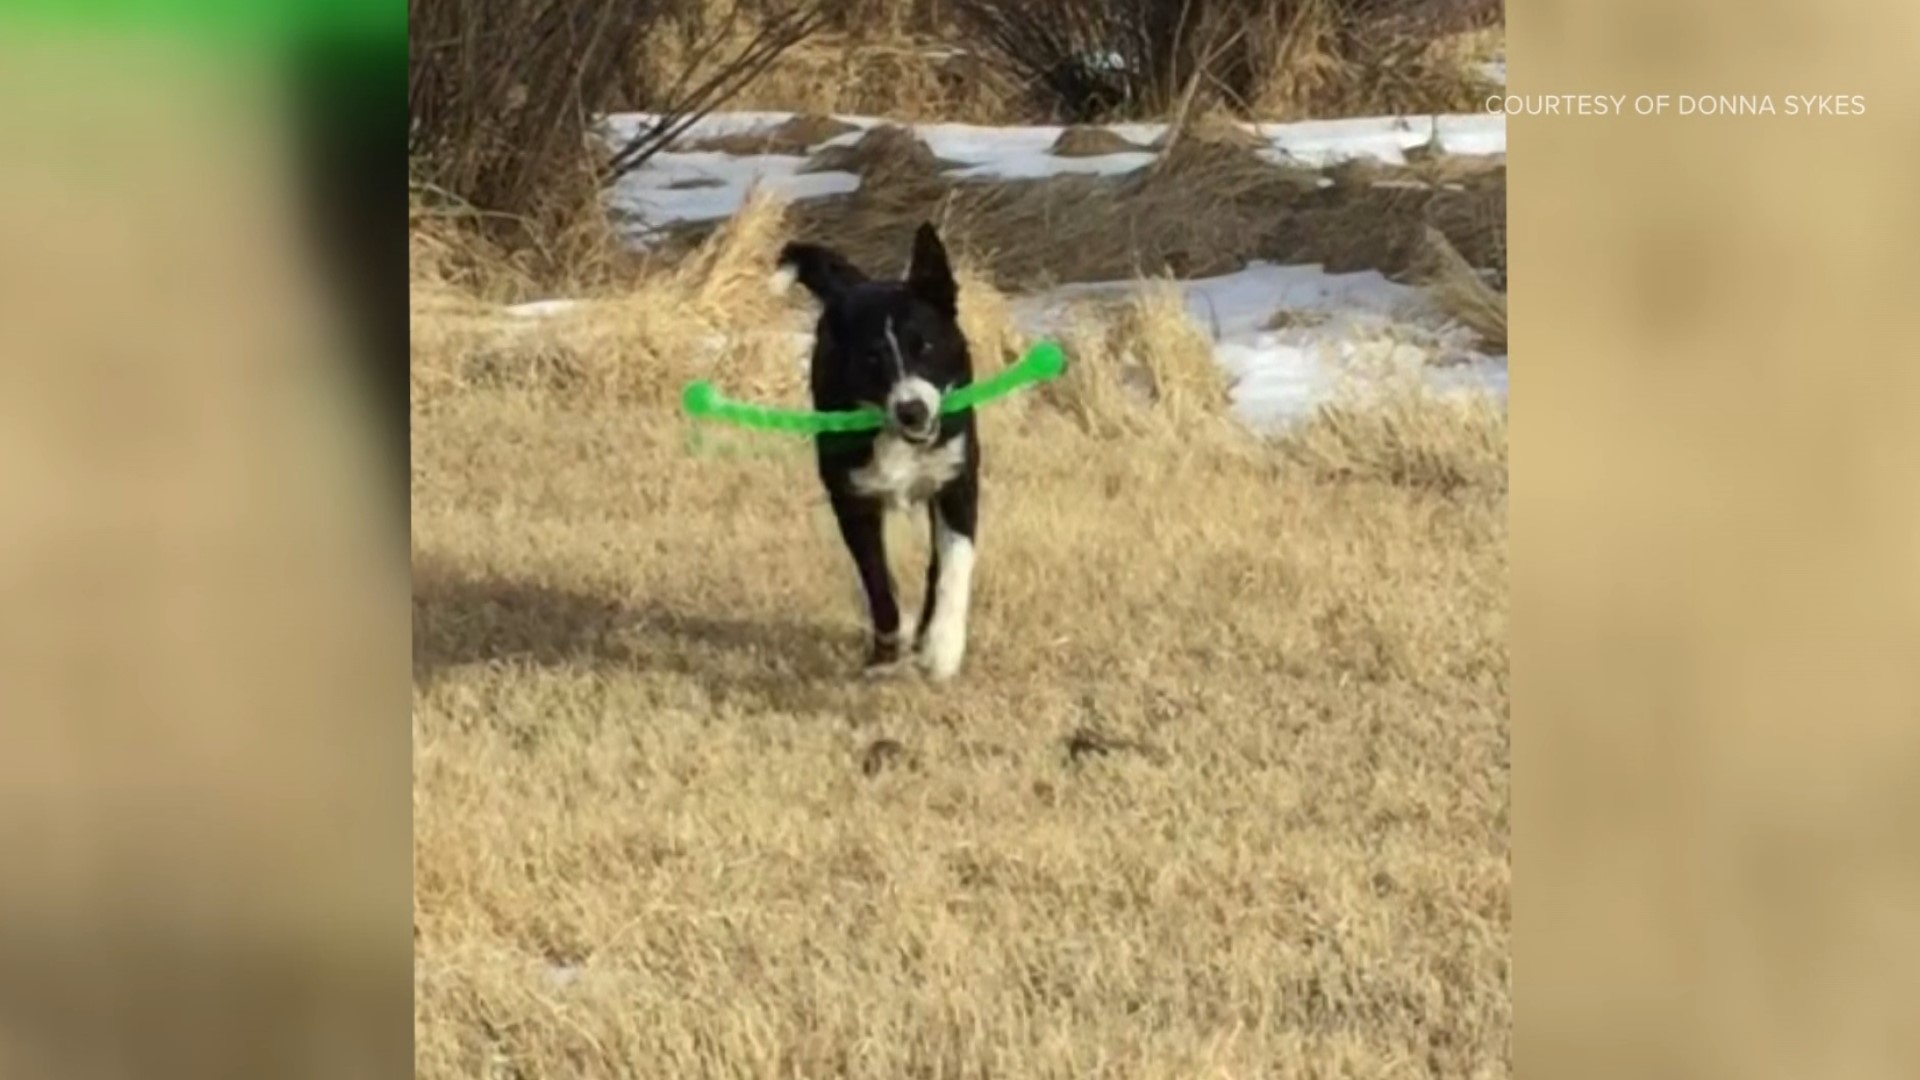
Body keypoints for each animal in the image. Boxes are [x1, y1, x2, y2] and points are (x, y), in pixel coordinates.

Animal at [768, 224, 975, 680]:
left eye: (926, 346)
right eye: (872, 358)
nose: (913, 410)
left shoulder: (957, 481)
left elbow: (953, 565)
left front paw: (942, 649)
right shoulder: (852, 500)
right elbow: (879, 584)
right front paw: (885, 655)